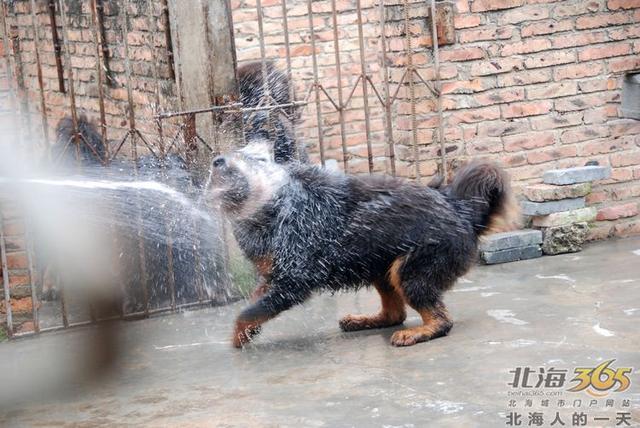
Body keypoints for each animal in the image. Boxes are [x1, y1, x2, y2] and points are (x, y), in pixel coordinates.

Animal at [211, 144, 520, 348]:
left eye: (248, 158)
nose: (216, 160)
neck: (274, 203)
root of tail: (461, 212)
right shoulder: (272, 275)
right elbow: (256, 302)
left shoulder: (295, 278)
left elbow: (248, 312)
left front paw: (239, 336)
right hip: (380, 264)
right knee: (395, 314)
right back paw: (364, 321)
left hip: (411, 269)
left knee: (441, 320)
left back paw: (418, 333)